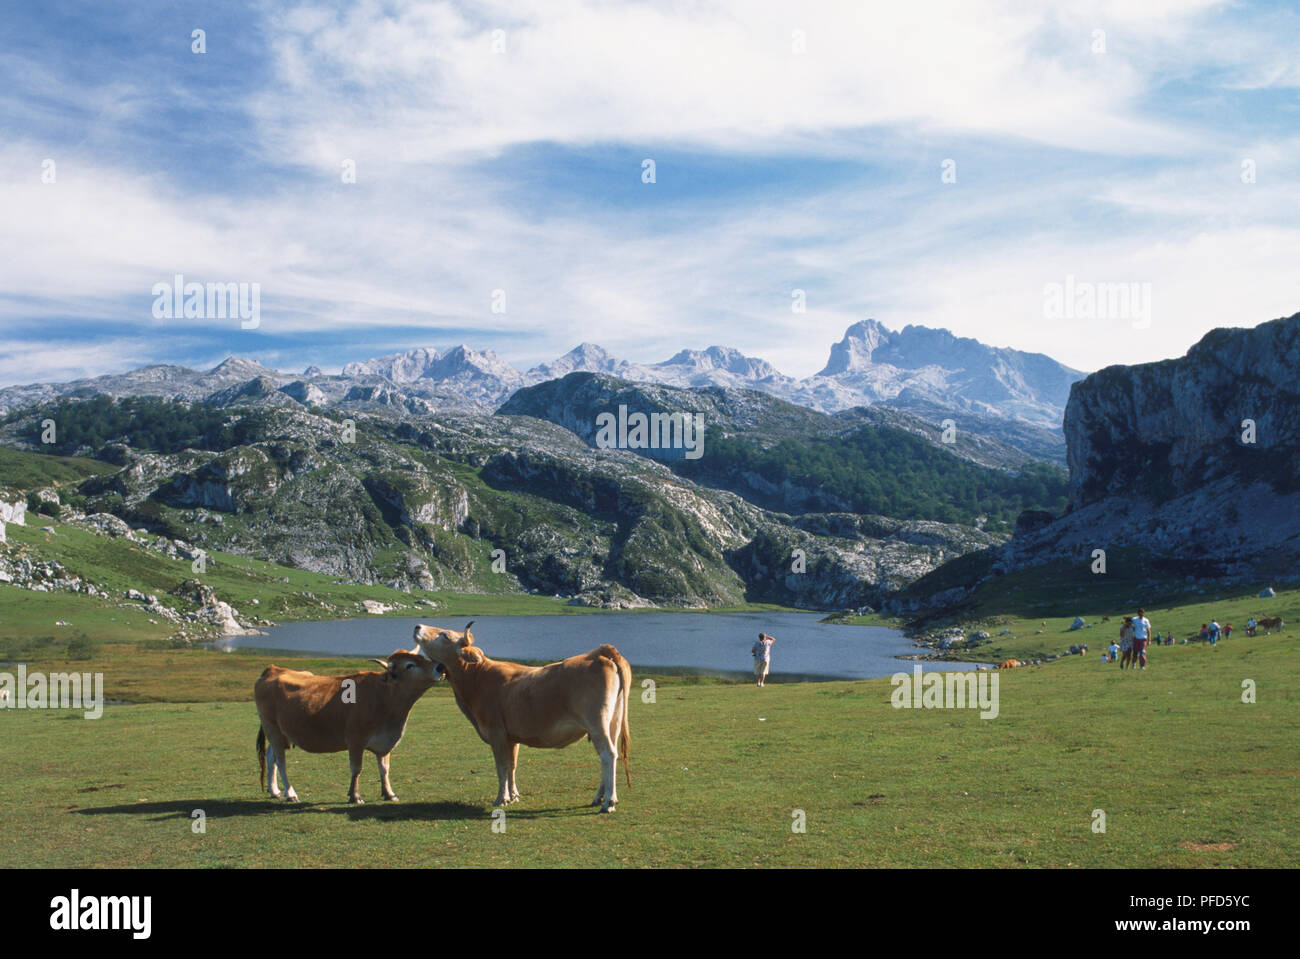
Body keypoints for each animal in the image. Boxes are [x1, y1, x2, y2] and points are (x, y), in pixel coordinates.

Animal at [253, 649, 447, 800]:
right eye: (409, 665)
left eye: (422, 657)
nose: (440, 666)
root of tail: (273, 669)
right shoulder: (355, 740)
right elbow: (356, 769)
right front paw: (355, 795)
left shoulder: (385, 743)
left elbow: (384, 769)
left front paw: (389, 793)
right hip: (272, 727)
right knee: (281, 761)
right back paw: (290, 793)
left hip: (281, 733)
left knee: (271, 757)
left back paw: (275, 791)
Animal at [408, 623, 626, 810]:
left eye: (445, 635)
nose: (418, 626)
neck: (477, 679)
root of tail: (600, 652)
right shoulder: (512, 737)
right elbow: (512, 765)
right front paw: (513, 796)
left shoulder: (496, 733)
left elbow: (501, 767)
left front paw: (501, 799)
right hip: (612, 722)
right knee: (609, 755)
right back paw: (599, 797)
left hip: (597, 722)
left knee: (608, 754)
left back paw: (609, 801)